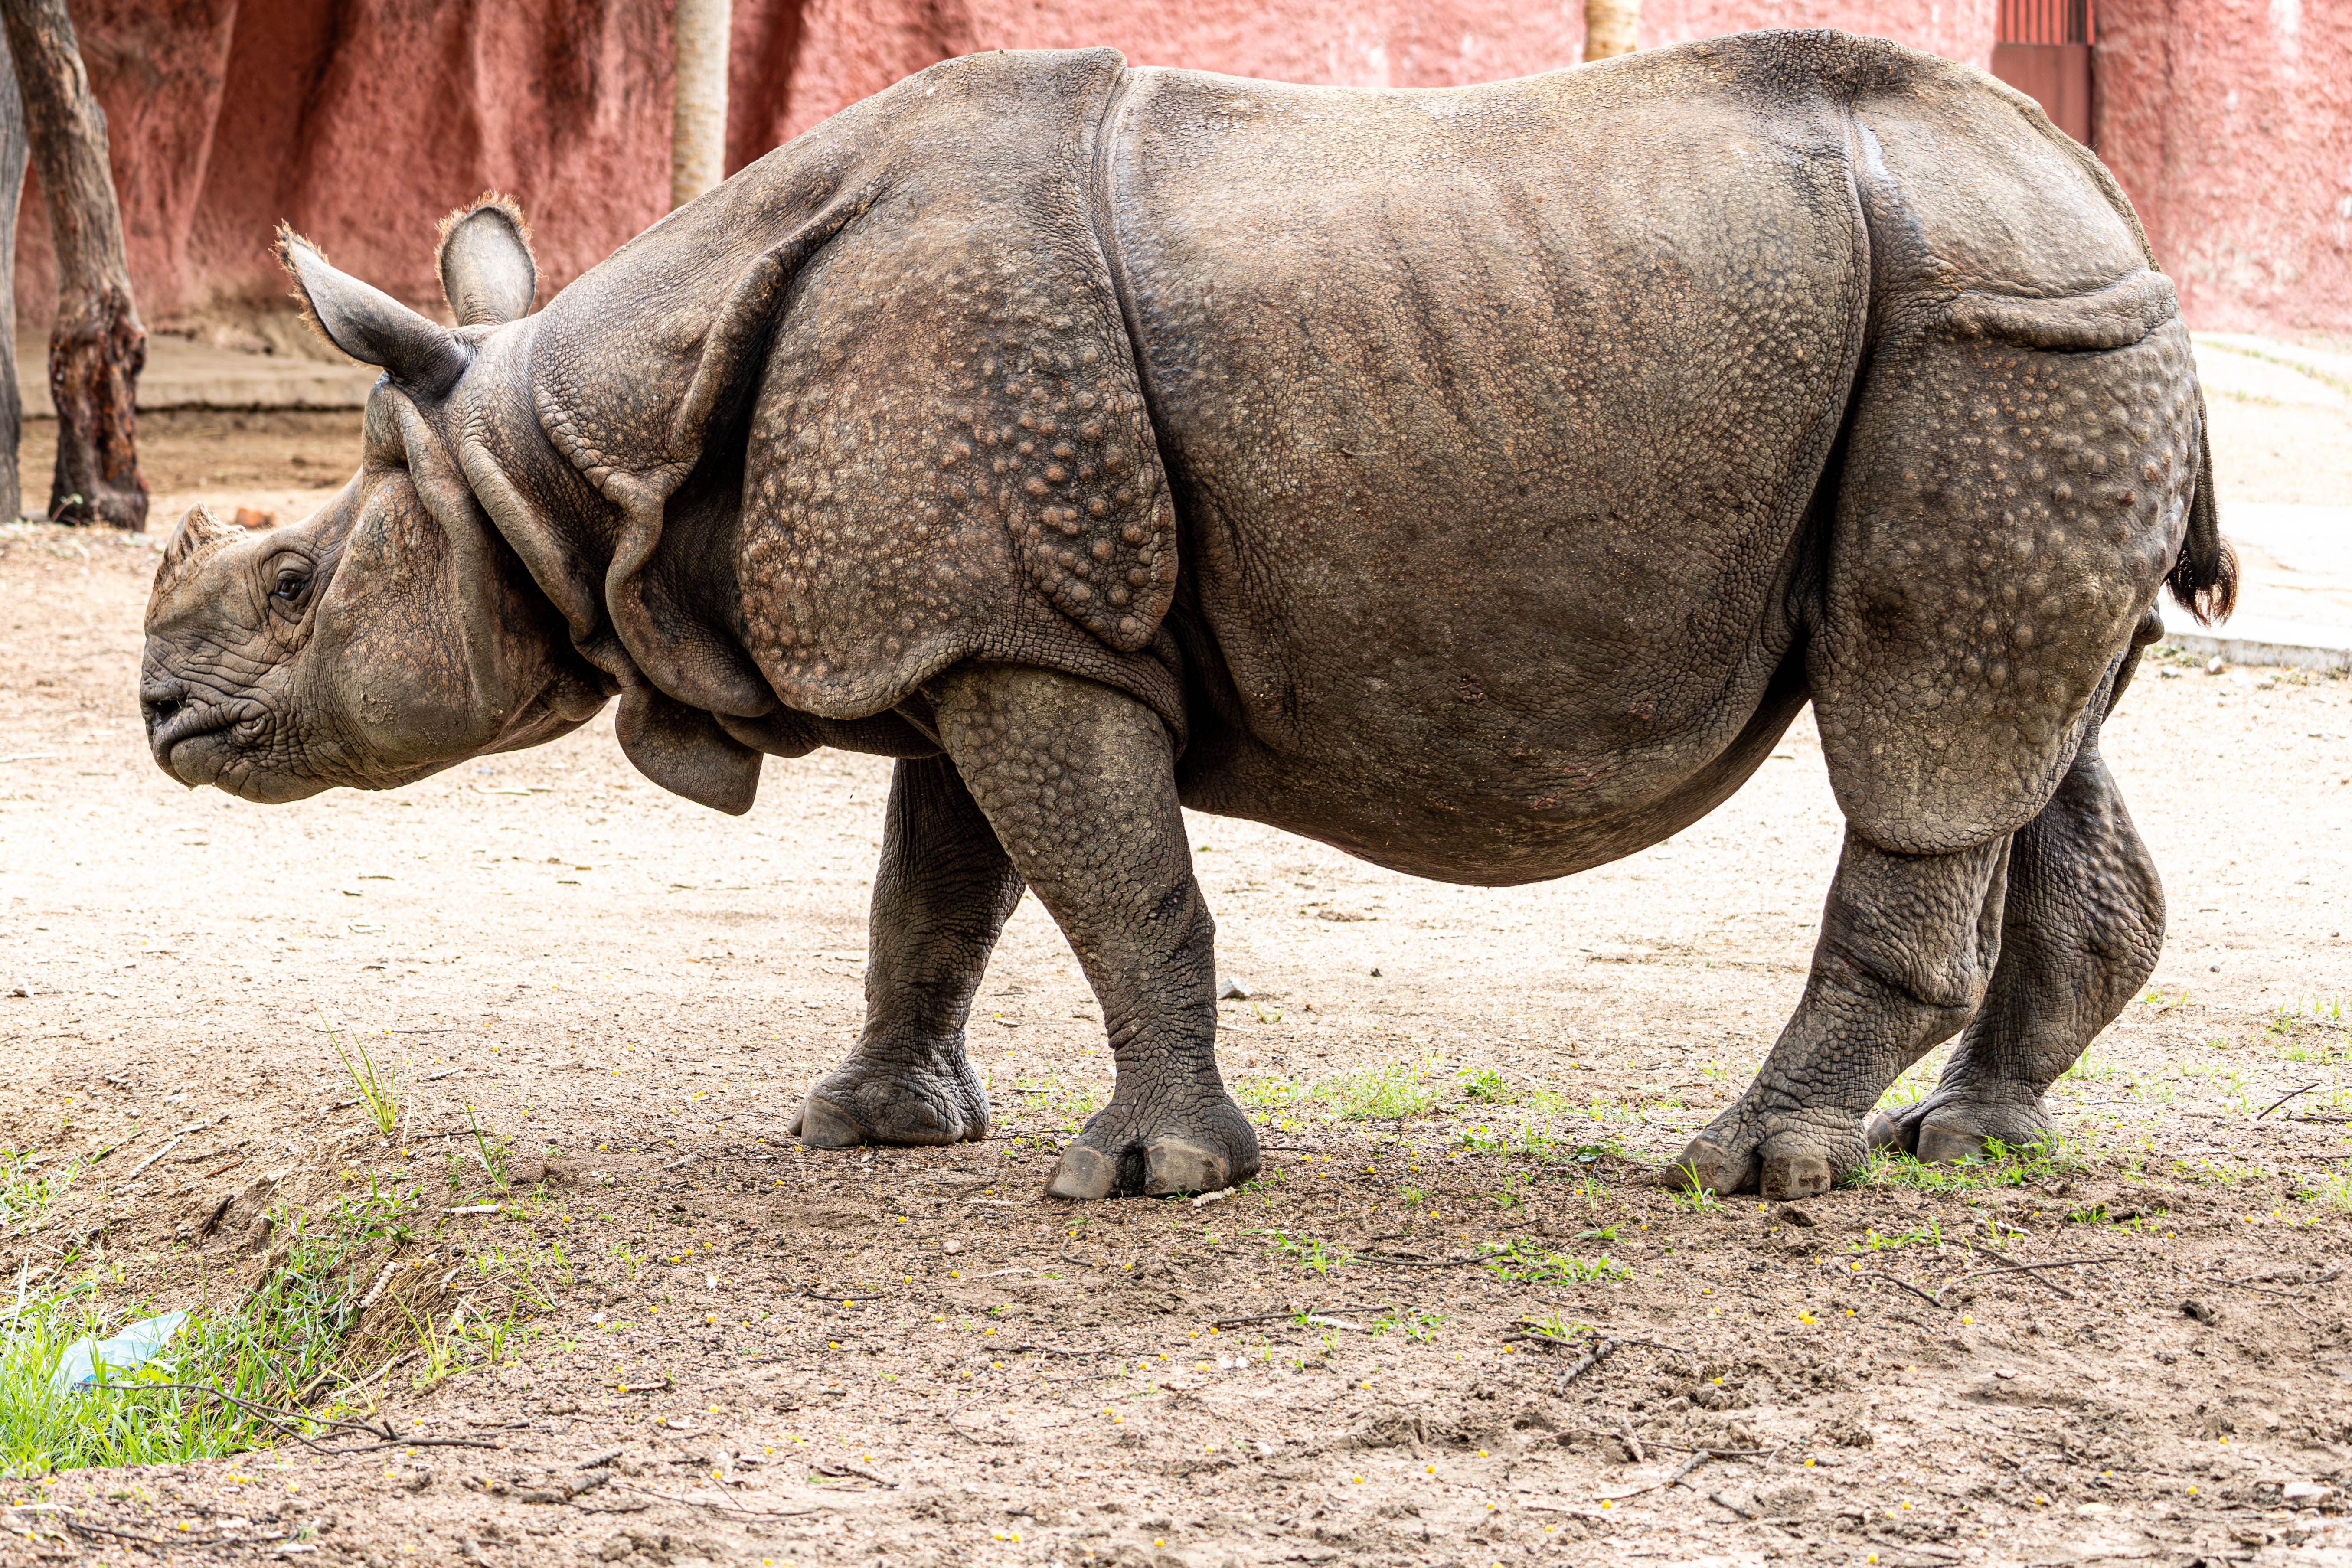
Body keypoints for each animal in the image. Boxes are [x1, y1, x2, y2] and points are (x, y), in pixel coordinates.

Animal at [142, 33, 2235, 1202]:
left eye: (297, 582)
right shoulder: (977, 616)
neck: (588, 460)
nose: (159, 714)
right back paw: (1967, 1139)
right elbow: (936, 892)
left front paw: (1142, 1177)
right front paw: (867, 1129)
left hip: (1988, 336)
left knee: (1918, 726)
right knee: (2021, 730)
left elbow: (1111, 881)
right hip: (2034, 340)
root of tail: (2101, 192)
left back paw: (1750, 1171)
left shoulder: (1008, 623)